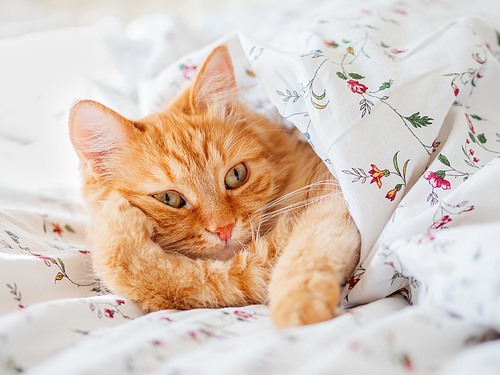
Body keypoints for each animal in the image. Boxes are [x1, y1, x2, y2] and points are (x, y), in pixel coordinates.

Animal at [69, 44, 360, 328]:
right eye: (168, 199)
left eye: (236, 176)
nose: (224, 229)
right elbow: (188, 282)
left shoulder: (328, 194)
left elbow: (305, 251)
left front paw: (298, 304)